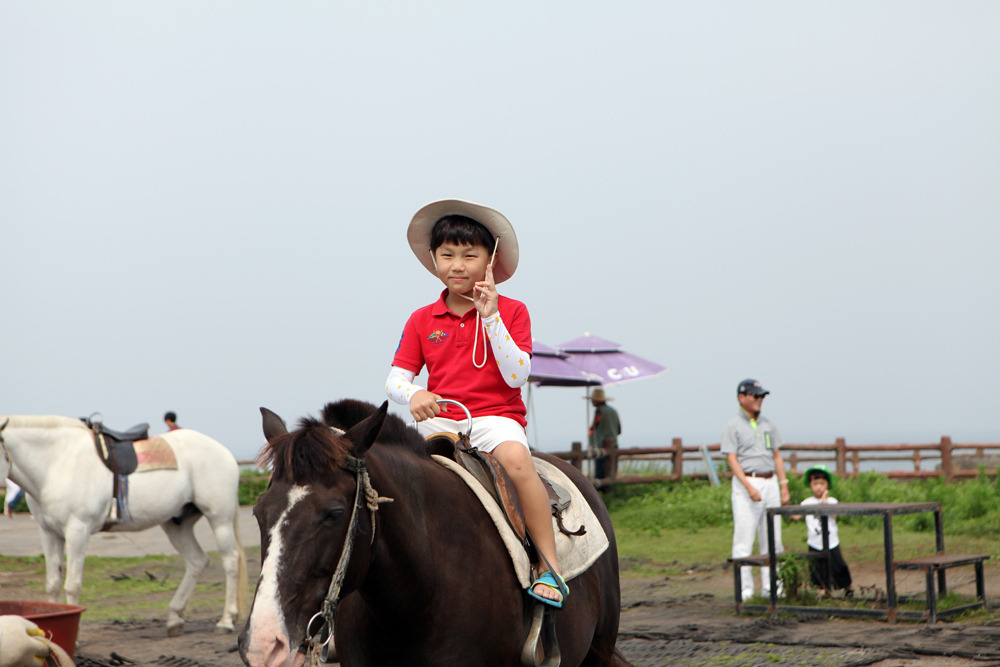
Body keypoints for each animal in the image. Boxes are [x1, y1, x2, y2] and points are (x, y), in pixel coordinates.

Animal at [0, 418, 248, 636]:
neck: (58, 461)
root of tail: (223, 451)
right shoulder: (49, 533)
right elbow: (53, 584)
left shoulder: (78, 530)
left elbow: (72, 585)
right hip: (177, 525)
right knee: (197, 561)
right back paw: (175, 618)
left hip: (219, 518)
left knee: (230, 562)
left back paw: (226, 620)